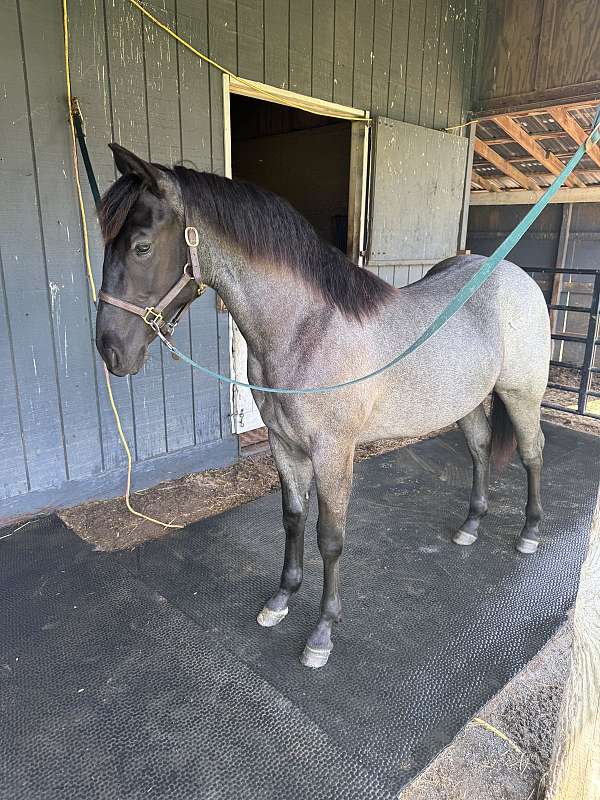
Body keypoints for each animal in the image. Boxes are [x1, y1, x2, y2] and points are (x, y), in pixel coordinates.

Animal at [95, 143, 551, 669]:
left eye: (141, 246)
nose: (110, 350)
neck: (306, 330)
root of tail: (516, 277)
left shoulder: (333, 452)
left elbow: (329, 537)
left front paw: (322, 633)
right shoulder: (283, 445)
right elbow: (293, 519)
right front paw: (280, 600)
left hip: (521, 395)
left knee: (532, 453)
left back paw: (530, 533)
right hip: (468, 401)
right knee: (479, 451)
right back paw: (470, 526)